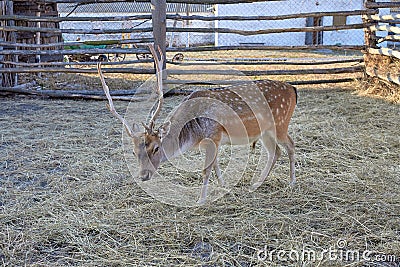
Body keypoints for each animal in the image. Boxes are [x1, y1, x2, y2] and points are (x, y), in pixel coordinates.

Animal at [97, 45, 296, 205]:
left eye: (156, 147)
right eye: (133, 152)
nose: (143, 175)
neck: (194, 134)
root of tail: (292, 89)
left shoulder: (213, 136)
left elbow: (206, 169)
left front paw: (201, 199)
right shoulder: (214, 141)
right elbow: (215, 165)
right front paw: (224, 186)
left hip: (280, 124)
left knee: (290, 145)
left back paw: (291, 181)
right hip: (265, 132)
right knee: (275, 151)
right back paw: (257, 182)